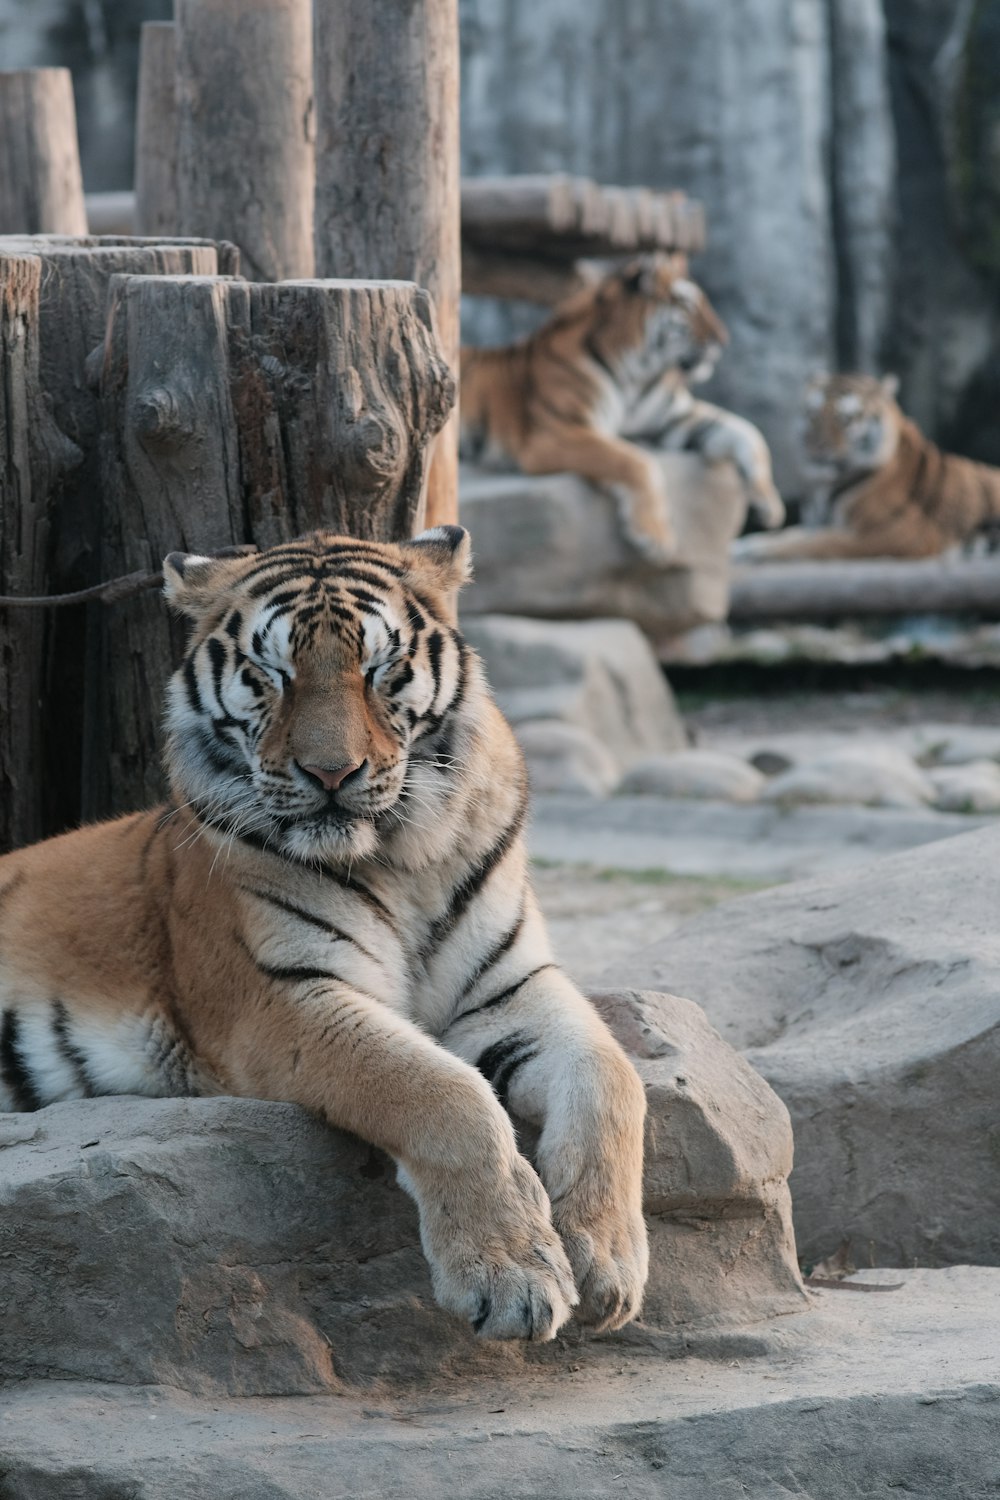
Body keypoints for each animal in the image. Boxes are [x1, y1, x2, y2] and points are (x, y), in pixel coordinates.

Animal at [0, 531, 650, 1350]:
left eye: (381, 670)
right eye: (270, 675)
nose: (331, 773)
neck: (404, 856)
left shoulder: (510, 990)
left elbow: (611, 1076)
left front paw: (607, 1262)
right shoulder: (279, 1000)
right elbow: (443, 1092)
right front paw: (512, 1277)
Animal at [458, 255, 785, 564]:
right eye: (687, 304)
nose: (723, 339)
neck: (638, 375)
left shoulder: (673, 419)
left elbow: (747, 431)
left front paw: (769, 502)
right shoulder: (558, 432)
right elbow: (635, 460)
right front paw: (655, 536)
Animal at [731, 372, 1000, 564]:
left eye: (845, 419)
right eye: (812, 414)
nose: (813, 447)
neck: (828, 485)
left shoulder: (900, 532)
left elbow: (819, 543)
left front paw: (751, 551)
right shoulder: (819, 523)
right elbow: (791, 534)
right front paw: (745, 542)